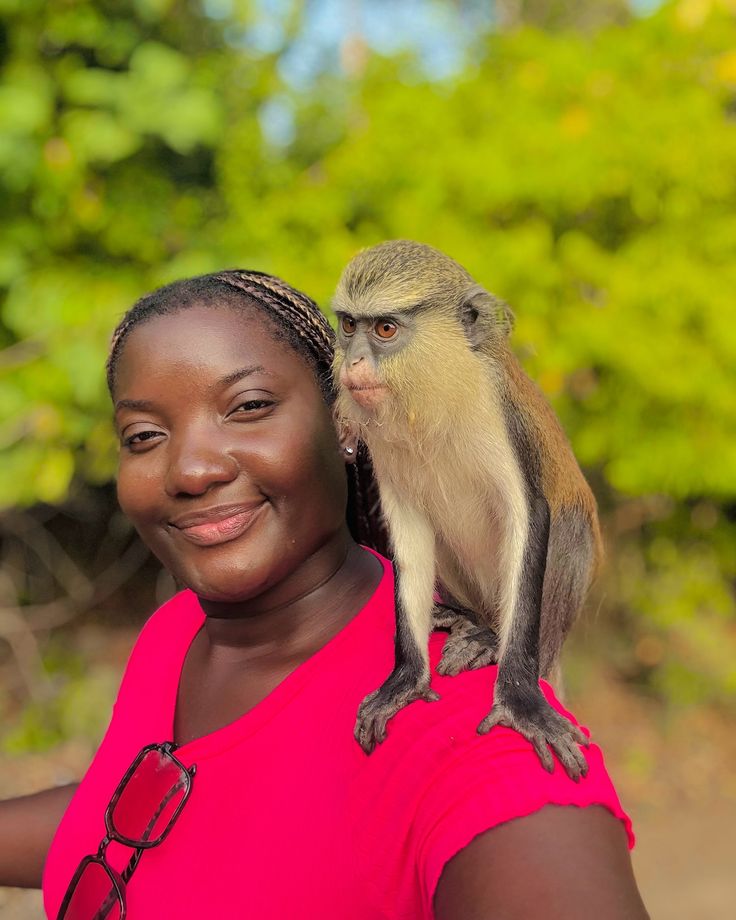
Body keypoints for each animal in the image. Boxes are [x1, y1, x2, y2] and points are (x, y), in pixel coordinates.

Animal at [332, 240, 602, 781]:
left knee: (569, 528)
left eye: (385, 329)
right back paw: (465, 619)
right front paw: (406, 677)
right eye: (349, 325)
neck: (434, 392)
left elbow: (529, 513)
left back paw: (493, 641)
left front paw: (520, 701)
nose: (353, 363)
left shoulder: (499, 414)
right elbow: (410, 535)